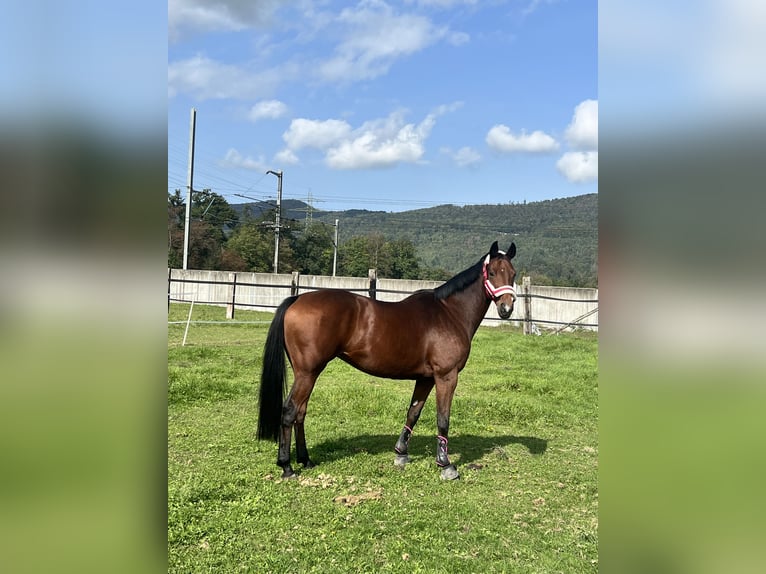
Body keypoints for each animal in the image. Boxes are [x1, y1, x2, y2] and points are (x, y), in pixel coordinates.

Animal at [260, 240, 520, 482]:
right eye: (492, 272)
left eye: (513, 273)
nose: (506, 308)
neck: (449, 313)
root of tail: (296, 300)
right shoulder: (446, 376)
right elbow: (443, 418)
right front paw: (446, 465)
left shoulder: (425, 379)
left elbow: (413, 413)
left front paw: (401, 454)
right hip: (308, 372)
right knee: (289, 411)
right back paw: (287, 466)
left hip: (307, 373)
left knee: (301, 412)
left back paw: (305, 460)